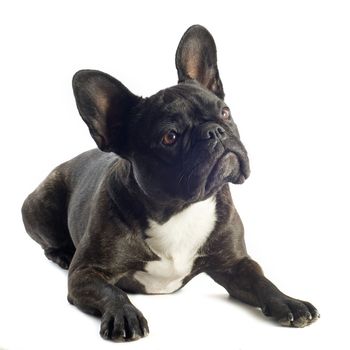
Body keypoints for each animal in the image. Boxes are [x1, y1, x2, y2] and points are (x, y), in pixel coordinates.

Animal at [21, 24, 318, 342]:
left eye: (225, 112)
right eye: (169, 137)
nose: (215, 131)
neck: (179, 210)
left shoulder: (236, 263)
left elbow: (263, 281)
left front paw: (289, 301)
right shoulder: (86, 273)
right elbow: (112, 292)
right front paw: (125, 315)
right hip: (38, 205)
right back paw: (63, 253)